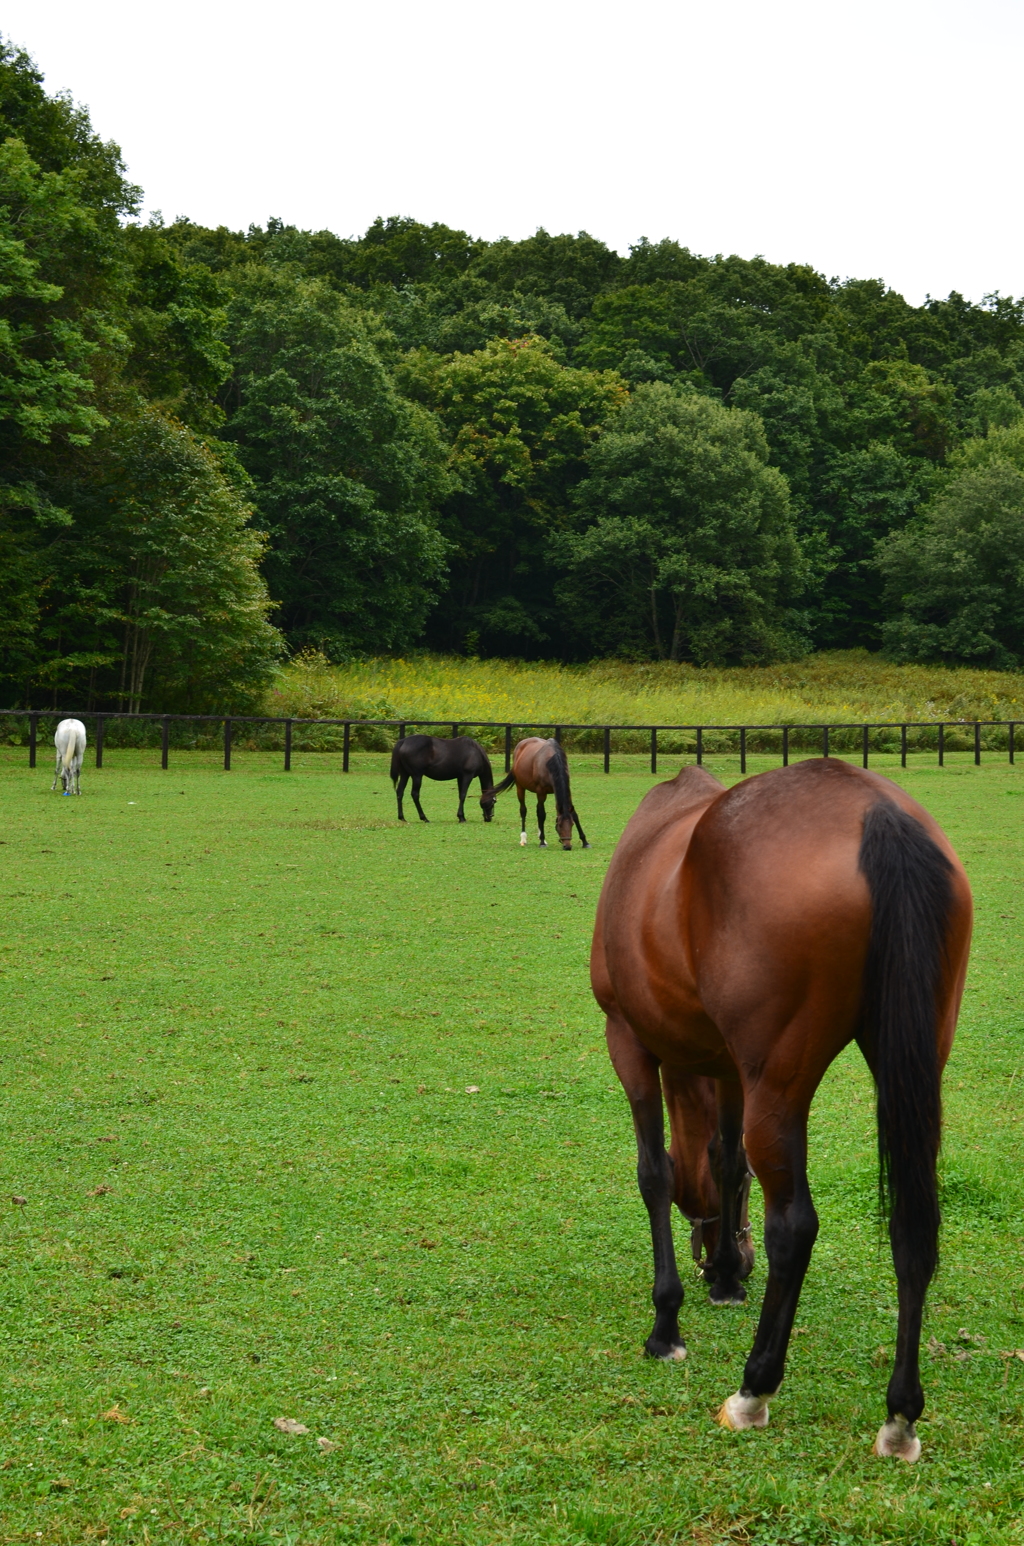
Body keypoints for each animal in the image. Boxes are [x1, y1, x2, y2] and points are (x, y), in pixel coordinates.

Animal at [590, 760, 977, 1459]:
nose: (729, 1255)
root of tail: (880, 814)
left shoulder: (627, 1040)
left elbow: (655, 1174)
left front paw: (667, 1321)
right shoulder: (726, 1064)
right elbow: (726, 1160)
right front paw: (724, 1277)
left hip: (777, 1083)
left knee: (794, 1227)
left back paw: (754, 1388)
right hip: (911, 1059)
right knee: (913, 1225)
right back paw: (900, 1415)